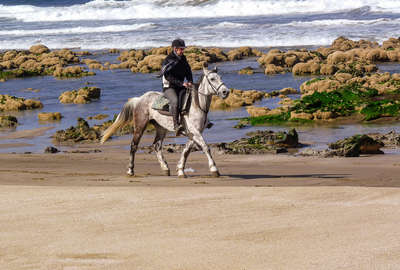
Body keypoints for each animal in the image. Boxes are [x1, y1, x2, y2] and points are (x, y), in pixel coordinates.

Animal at [101, 65, 230, 178]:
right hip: (140, 126)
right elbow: (205, 147)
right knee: (134, 146)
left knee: (157, 146)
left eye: (220, 77)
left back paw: (165, 168)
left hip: (161, 128)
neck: (197, 104)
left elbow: (186, 150)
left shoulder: (194, 133)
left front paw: (180, 170)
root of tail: (139, 99)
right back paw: (130, 170)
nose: (226, 92)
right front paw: (214, 170)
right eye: (212, 79)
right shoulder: (194, 131)